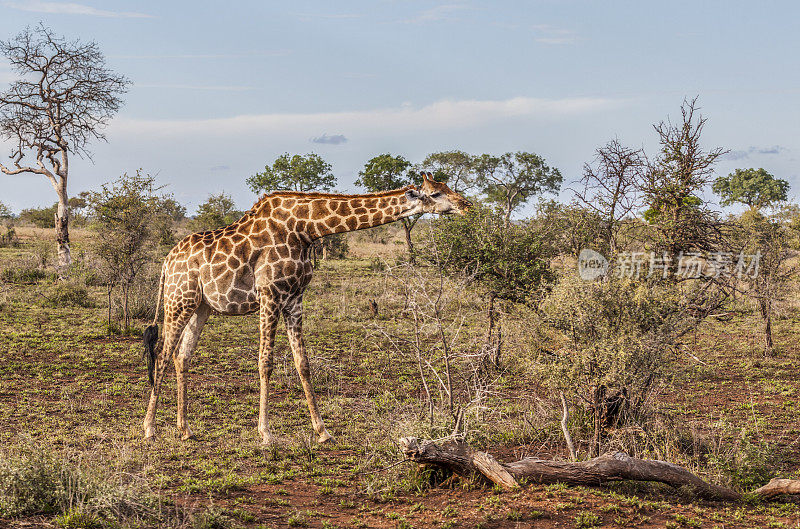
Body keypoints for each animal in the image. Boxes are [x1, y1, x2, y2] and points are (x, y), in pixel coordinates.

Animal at [142, 172, 468, 442]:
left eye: (447, 187)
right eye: (436, 193)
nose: (465, 204)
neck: (306, 228)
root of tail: (167, 262)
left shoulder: (295, 300)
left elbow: (303, 363)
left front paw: (322, 431)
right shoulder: (270, 296)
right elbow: (265, 362)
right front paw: (266, 433)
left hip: (201, 306)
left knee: (182, 356)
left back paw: (185, 429)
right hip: (178, 300)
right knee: (162, 354)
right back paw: (150, 429)